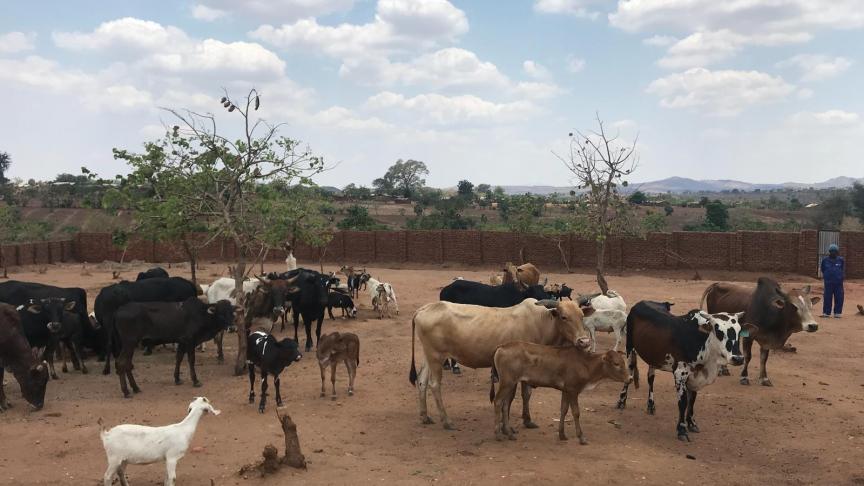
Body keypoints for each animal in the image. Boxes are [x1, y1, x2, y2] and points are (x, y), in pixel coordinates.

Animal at [492, 346, 628, 444]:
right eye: (616, 363)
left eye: (624, 363)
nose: (630, 378)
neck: (586, 365)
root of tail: (501, 347)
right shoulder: (573, 390)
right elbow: (576, 412)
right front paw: (581, 437)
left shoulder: (566, 390)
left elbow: (564, 409)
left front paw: (562, 434)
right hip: (507, 382)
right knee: (498, 402)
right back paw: (497, 434)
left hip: (511, 383)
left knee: (505, 405)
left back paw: (509, 433)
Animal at [616, 300, 756, 440]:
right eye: (718, 331)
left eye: (739, 331)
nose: (738, 358)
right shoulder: (680, 373)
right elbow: (683, 402)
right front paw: (682, 429)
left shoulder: (694, 376)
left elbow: (692, 400)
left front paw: (691, 423)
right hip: (630, 349)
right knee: (629, 373)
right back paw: (621, 401)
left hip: (653, 357)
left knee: (651, 379)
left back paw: (651, 405)